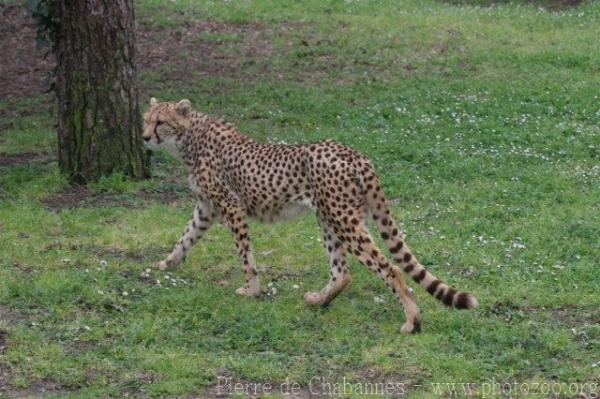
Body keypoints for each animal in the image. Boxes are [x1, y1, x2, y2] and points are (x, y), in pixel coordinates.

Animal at [143, 97, 476, 334]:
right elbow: (185, 238)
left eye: (161, 122)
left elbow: (245, 255)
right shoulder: (206, 209)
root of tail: (356, 154)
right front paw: (166, 264)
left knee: (390, 268)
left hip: (343, 220)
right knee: (342, 272)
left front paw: (251, 290)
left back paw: (412, 320)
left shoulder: (231, 207)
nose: (145, 137)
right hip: (329, 217)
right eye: (145, 120)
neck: (190, 137)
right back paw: (319, 300)